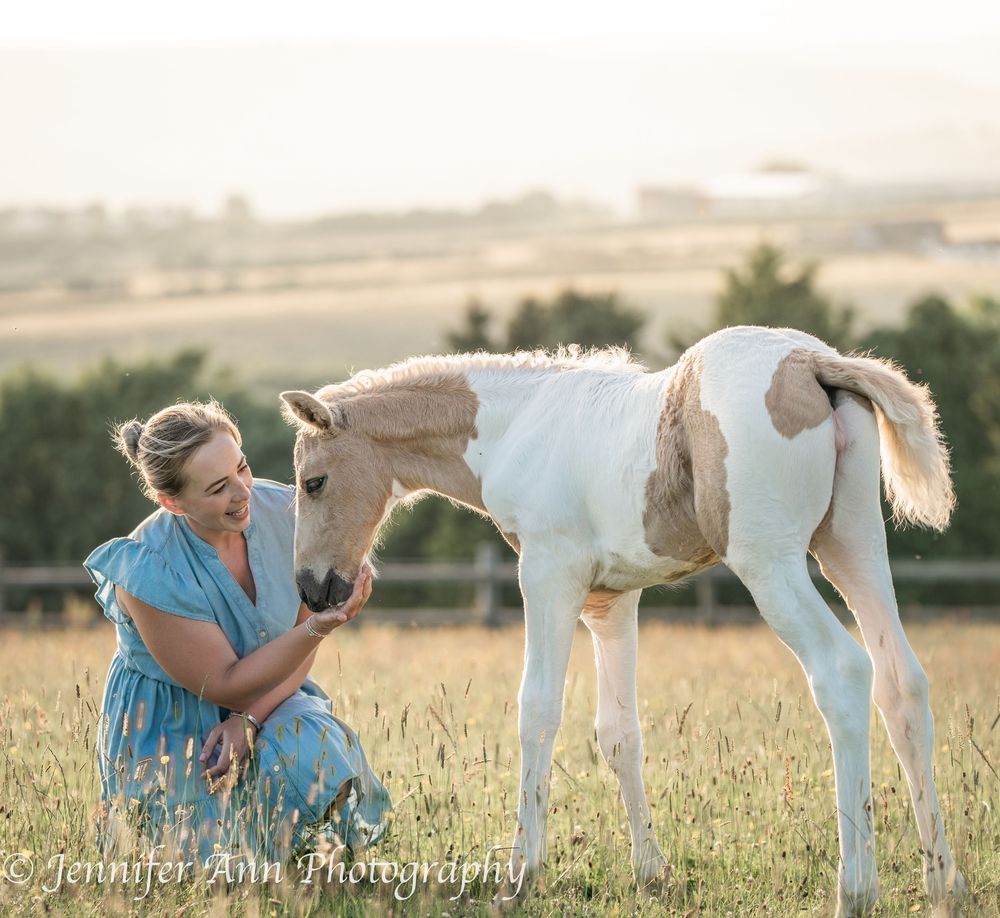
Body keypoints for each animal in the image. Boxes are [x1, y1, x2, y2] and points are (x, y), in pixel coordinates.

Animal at [280, 325, 965, 916]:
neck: (515, 424)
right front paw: (652, 874)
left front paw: (519, 877)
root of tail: (812, 362)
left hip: (769, 561)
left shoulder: (549, 574)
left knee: (843, 673)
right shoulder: (611, 602)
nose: (314, 588)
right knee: (902, 684)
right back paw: (942, 882)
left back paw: (856, 890)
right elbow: (619, 733)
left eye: (313, 483)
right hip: (852, 545)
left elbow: (538, 711)